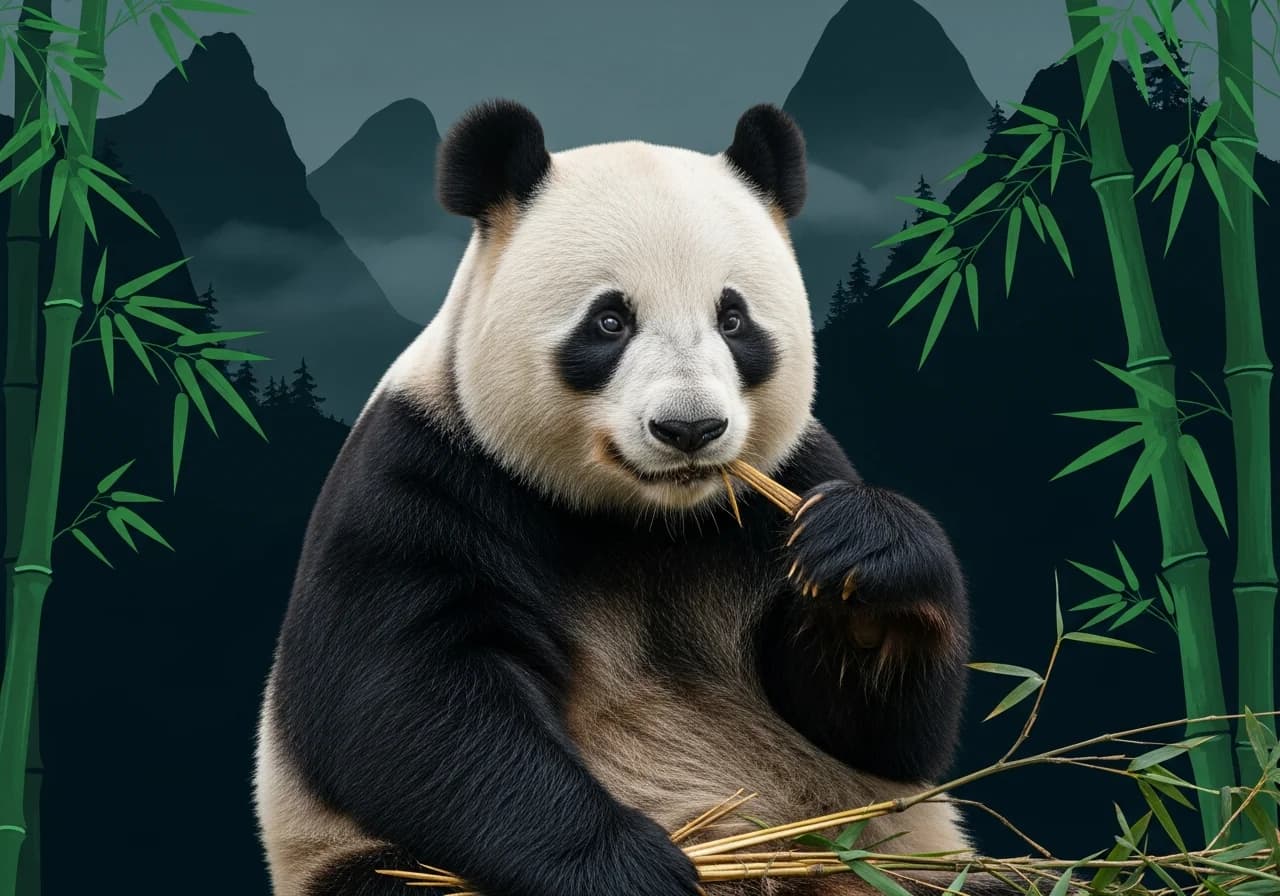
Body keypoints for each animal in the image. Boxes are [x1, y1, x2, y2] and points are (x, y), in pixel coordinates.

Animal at [255, 100, 980, 896]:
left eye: (733, 319)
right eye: (609, 320)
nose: (690, 428)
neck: (647, 520)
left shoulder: (779, 487)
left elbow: (875, 731)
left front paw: (861, 559)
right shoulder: (425, 478)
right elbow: (412, 701)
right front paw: (632, 869)